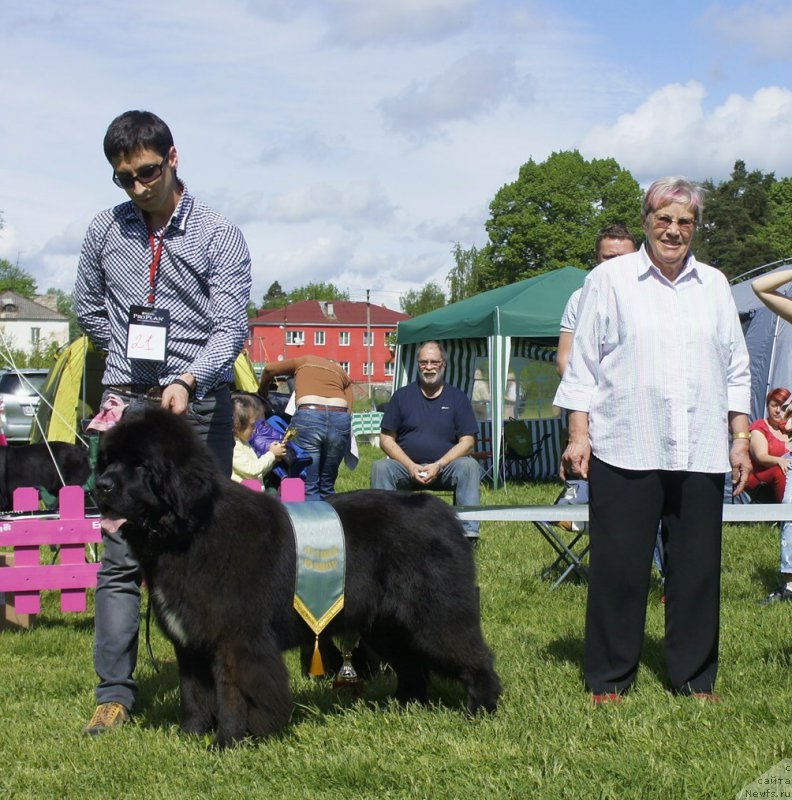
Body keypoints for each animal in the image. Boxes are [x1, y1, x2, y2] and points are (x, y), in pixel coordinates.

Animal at [94, 410, 502, 748]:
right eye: (109, 460)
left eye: (141, 465)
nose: (101, 486)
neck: (192, 530)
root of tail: (443, 511)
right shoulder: (191, 641)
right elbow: (193, 692)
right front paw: (189, 736)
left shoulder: (235, 639)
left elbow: (232, 694)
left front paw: (226, 742)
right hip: (388, 625)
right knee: (412, 666)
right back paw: (403, 706)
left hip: (435, 616)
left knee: (474, 656)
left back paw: (481, 709)